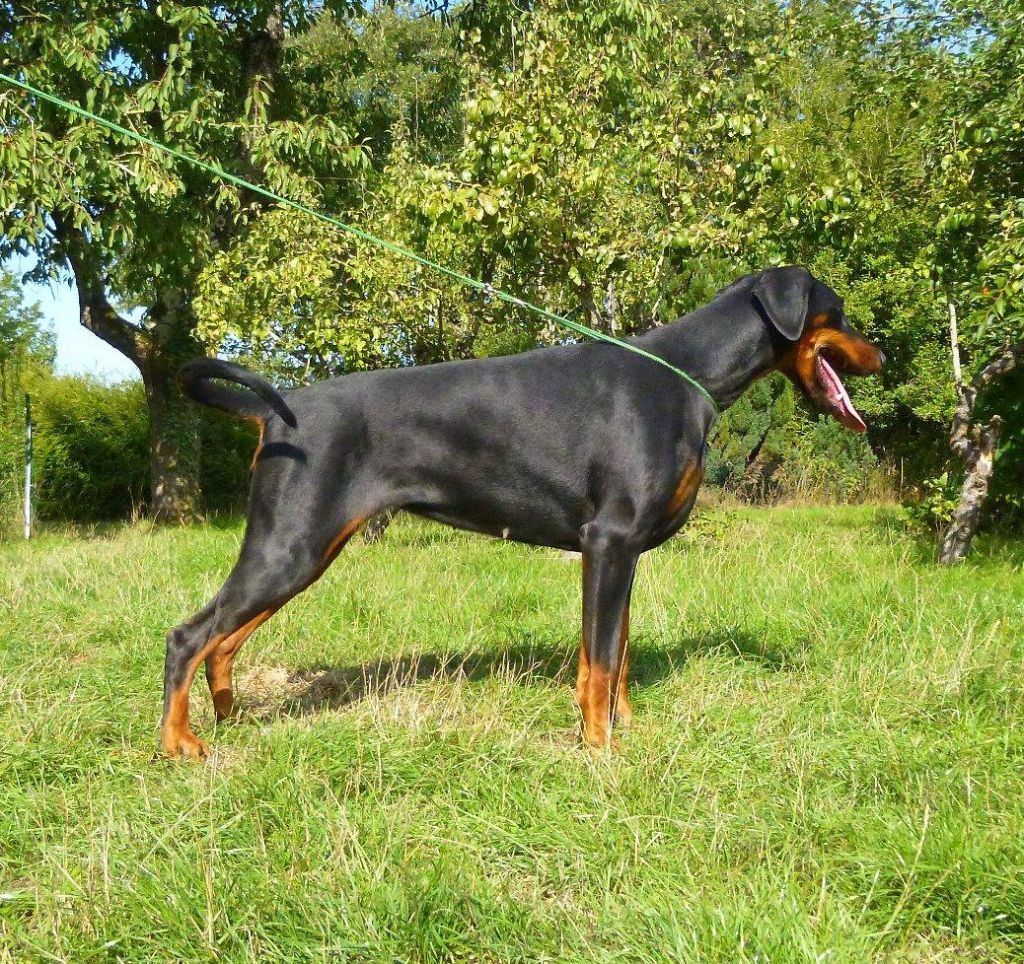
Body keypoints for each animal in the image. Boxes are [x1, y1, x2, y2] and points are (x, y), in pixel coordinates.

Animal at [163, 264, 884, 758]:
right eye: (840, 312)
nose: (881, 355)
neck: (685, 376)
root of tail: (277, 410)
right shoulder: (609, 540)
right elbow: (601, 660)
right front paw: (601, 751)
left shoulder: (624, 554)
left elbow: (614, 653)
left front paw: (624, 729)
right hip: (290, 546)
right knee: (190, 636)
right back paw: (180, 745)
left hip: (303, 550)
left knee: (224, 639)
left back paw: (229, 720)